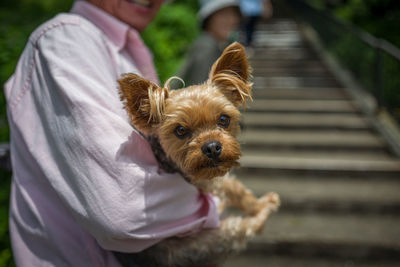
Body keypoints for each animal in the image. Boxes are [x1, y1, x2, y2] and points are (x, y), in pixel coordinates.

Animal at [115, 42, 278, 267]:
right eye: (180, 130)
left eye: (224, 119)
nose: (212, 147)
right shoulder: (210, 182)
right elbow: (237, 190)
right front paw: (261, 204)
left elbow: (236, 189)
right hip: (214, 239)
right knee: (246, 228)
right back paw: (266, 210)